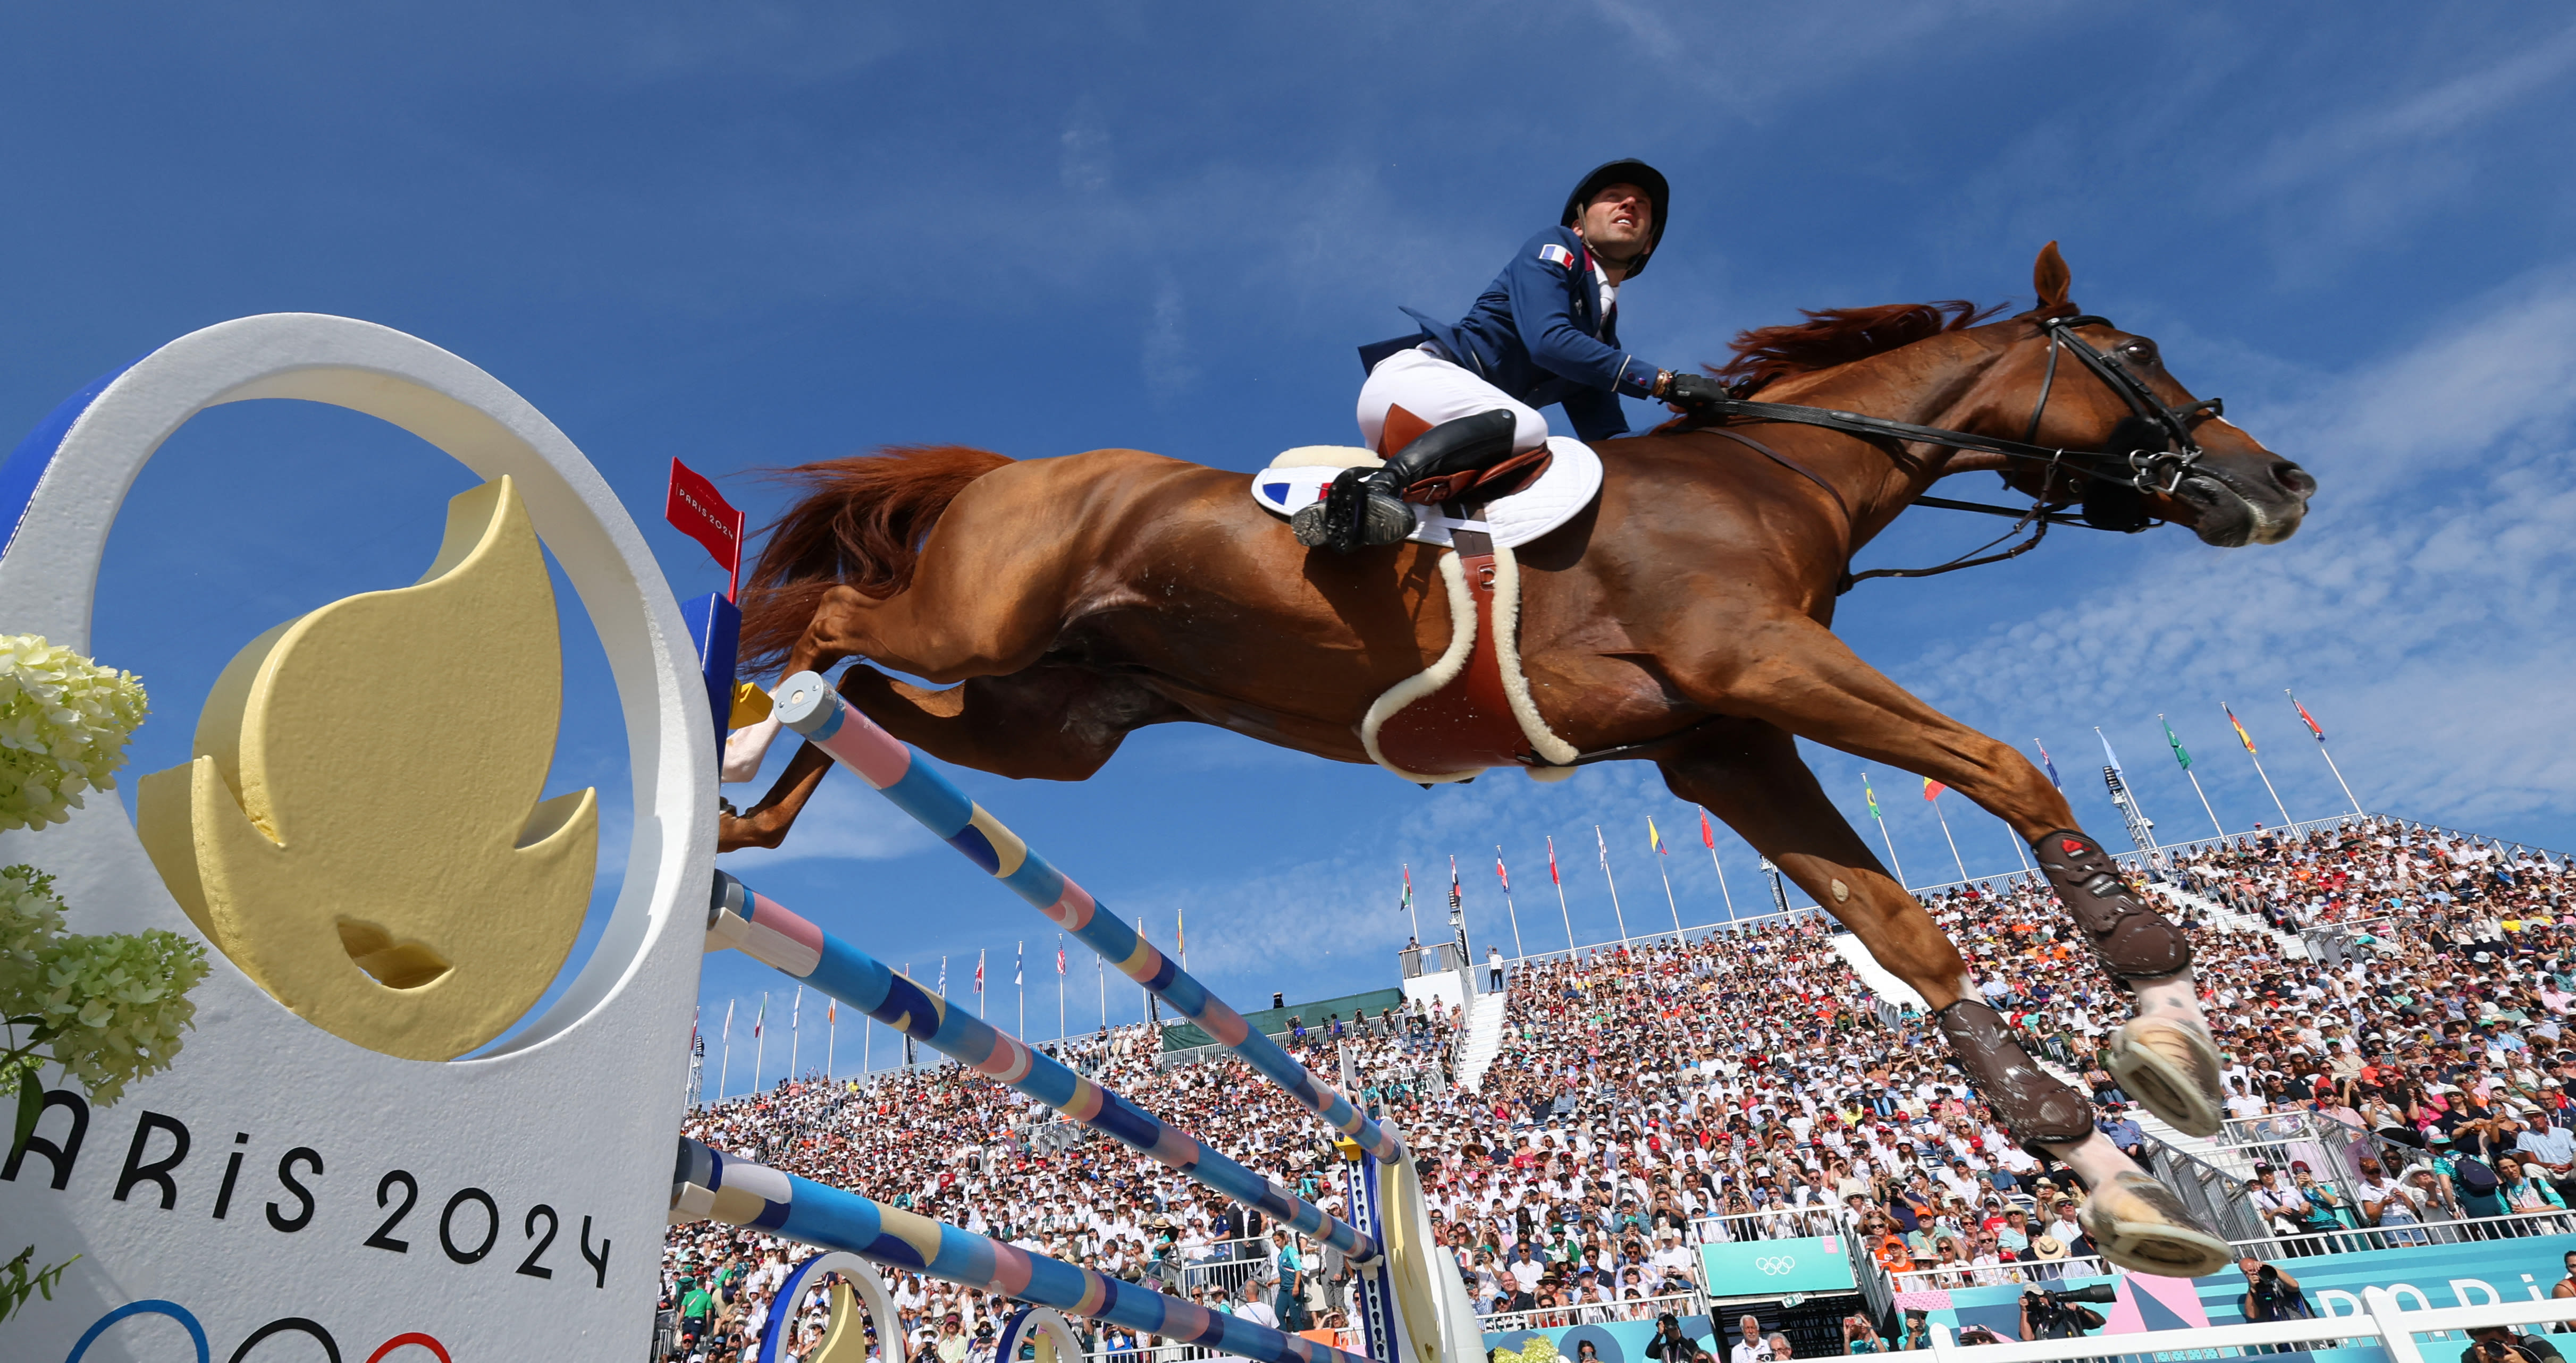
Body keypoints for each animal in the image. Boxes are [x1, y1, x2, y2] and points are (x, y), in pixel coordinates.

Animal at [721, 244, 2318, 1277]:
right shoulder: (1760, 667)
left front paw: (2101, 1148)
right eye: (2134, 355)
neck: (1778, 473)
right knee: (837, 620)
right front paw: (2158, 1000)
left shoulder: (1722, 738)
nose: (2279, 481)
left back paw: (754, 816)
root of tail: (1014, 471)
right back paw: (734, 714)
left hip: (1055, 724)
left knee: (869, 691)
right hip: (979, 617)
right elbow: (2004, 770)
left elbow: (1893, 920)